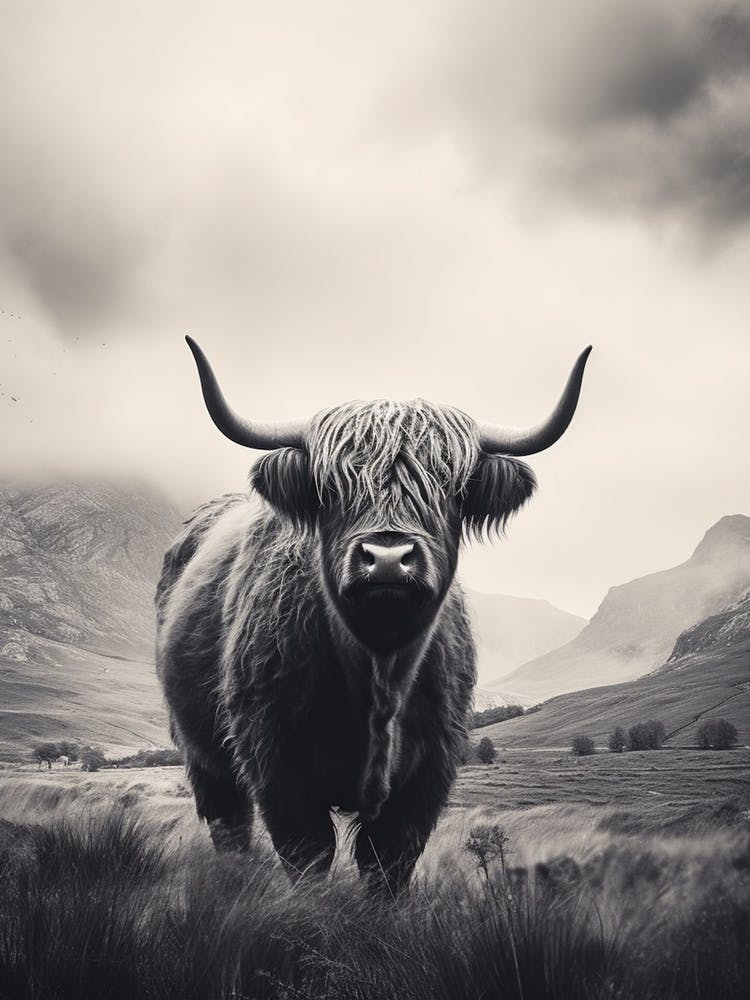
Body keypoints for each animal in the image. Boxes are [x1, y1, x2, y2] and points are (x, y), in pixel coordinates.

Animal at [155, 337, 591, 894]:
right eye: (331, 489)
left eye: (447, 489)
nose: (387, 557)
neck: (380, 672)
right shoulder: (273, 755)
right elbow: (308, 851)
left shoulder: (431, 769)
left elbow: (388, 861)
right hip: (201, 751)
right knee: (228, 822)